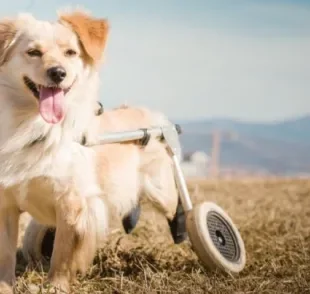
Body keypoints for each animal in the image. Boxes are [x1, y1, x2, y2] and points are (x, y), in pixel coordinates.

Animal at [0, 10, 182, 292]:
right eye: (33, 52)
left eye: (71, 53)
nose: (58, 73)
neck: (34, 127)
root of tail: (151, 116)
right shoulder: (7, 205)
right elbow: (6, 257)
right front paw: (4, 287)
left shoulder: (73, 206)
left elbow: (62, 257)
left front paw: (56, 287)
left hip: (162, 191)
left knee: (179, 209)